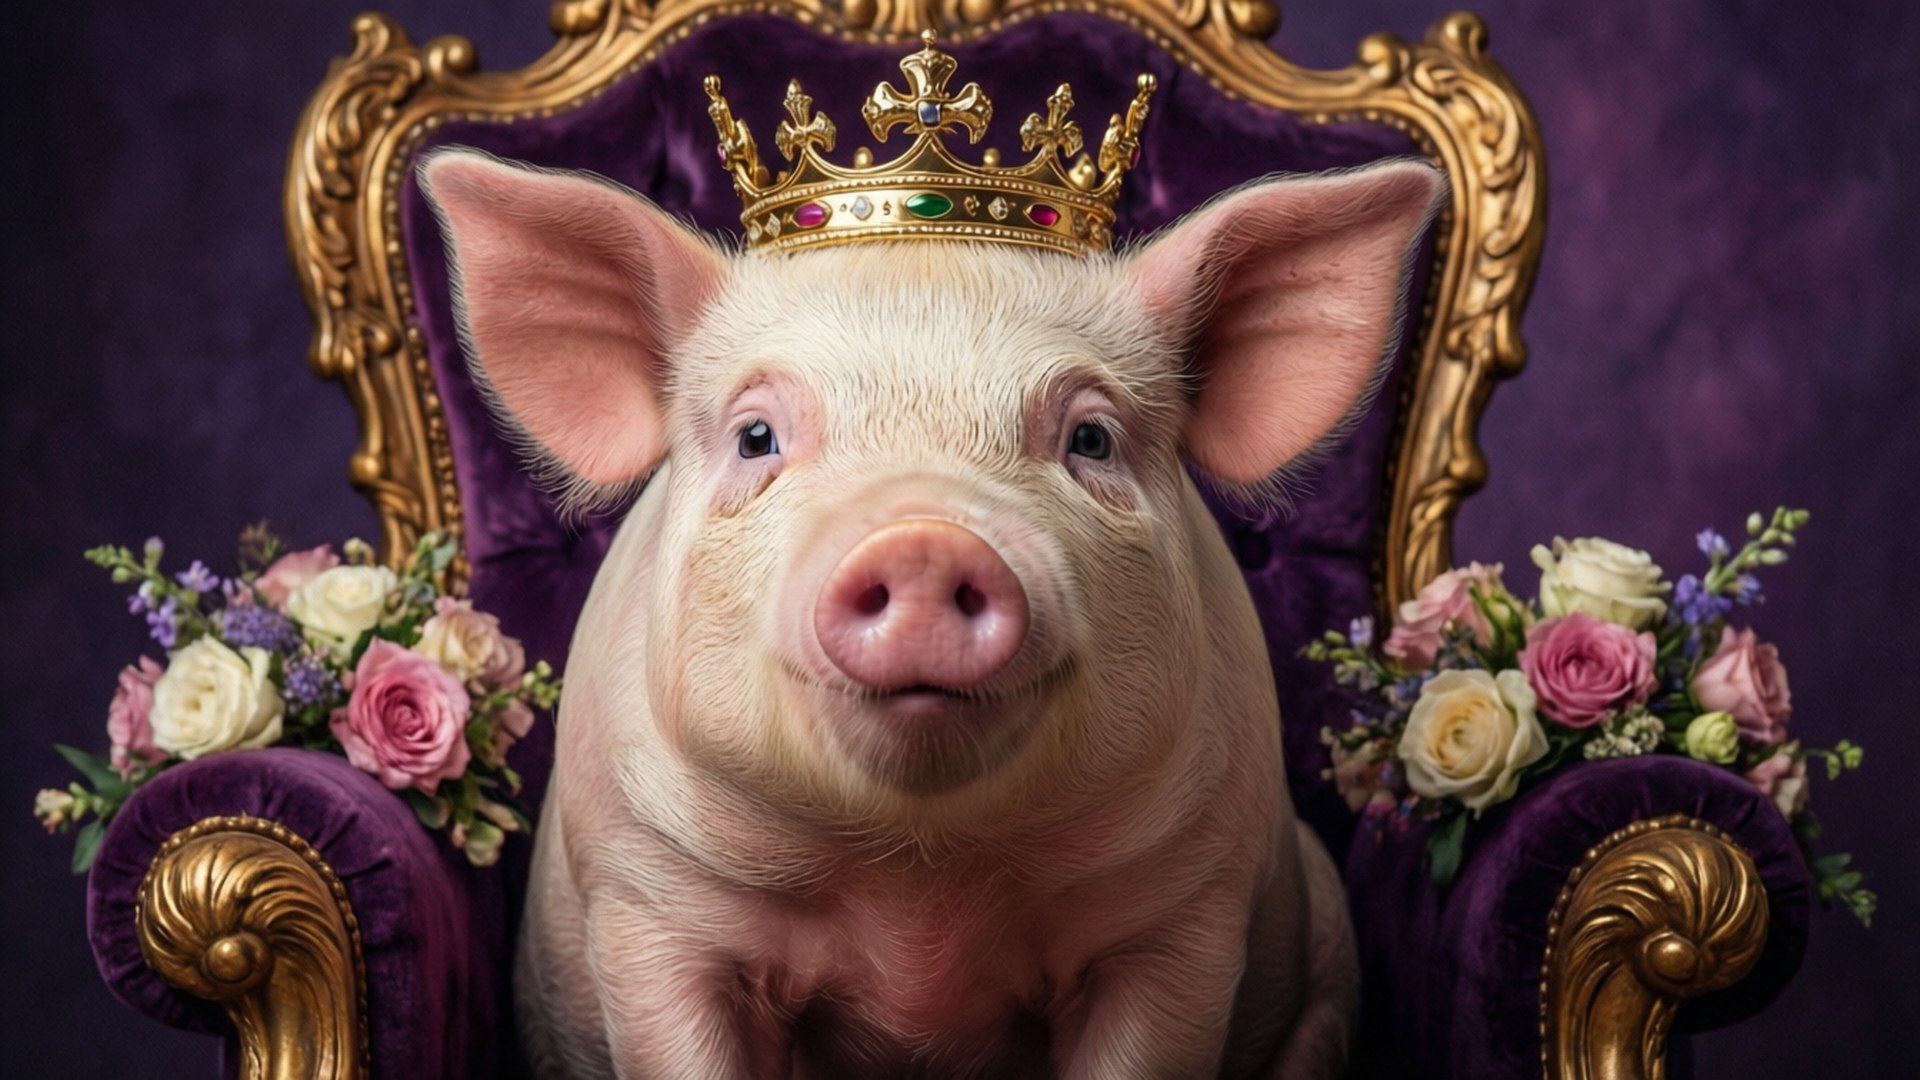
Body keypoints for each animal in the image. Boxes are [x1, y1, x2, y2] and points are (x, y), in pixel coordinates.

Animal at [422, 147, 1443, 1078]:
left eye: (1091, 438)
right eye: (756, 437)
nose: (922, 540)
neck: (916, 893)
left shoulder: (1185, 915)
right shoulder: (649, 905)